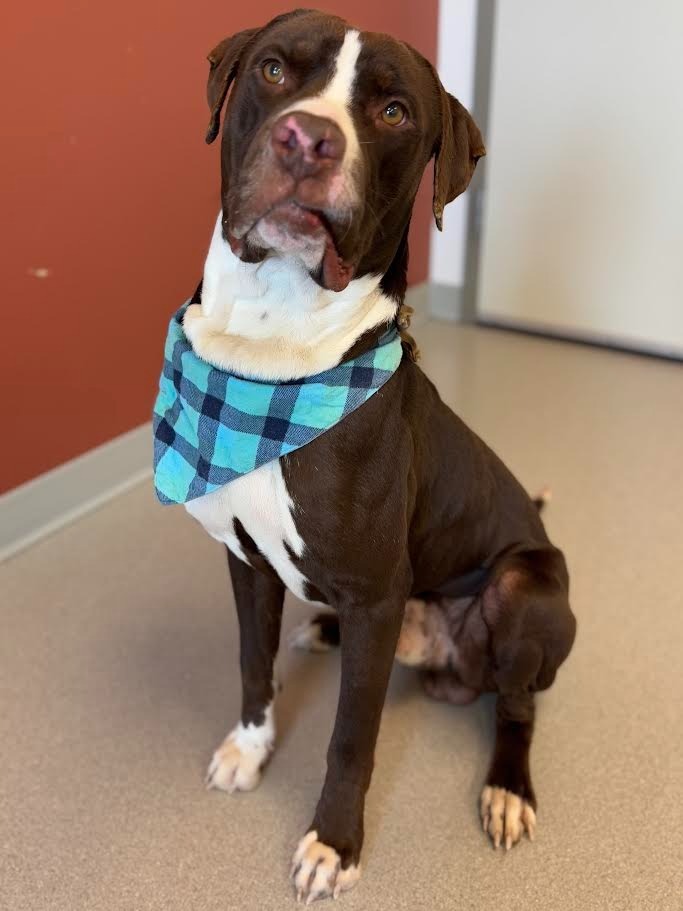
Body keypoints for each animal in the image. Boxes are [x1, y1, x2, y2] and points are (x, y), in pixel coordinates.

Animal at [167, 8, 576, 904]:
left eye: (392, 113)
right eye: (274, 71)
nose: (307, 141)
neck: (274, 353)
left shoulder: (379, 597)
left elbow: (351, 738)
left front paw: (333, 841)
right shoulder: (246, 561)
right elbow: (251, 664)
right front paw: (249, 749)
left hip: (524, 587)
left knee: (518, 706)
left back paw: (507, 790)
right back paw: (321, 629)